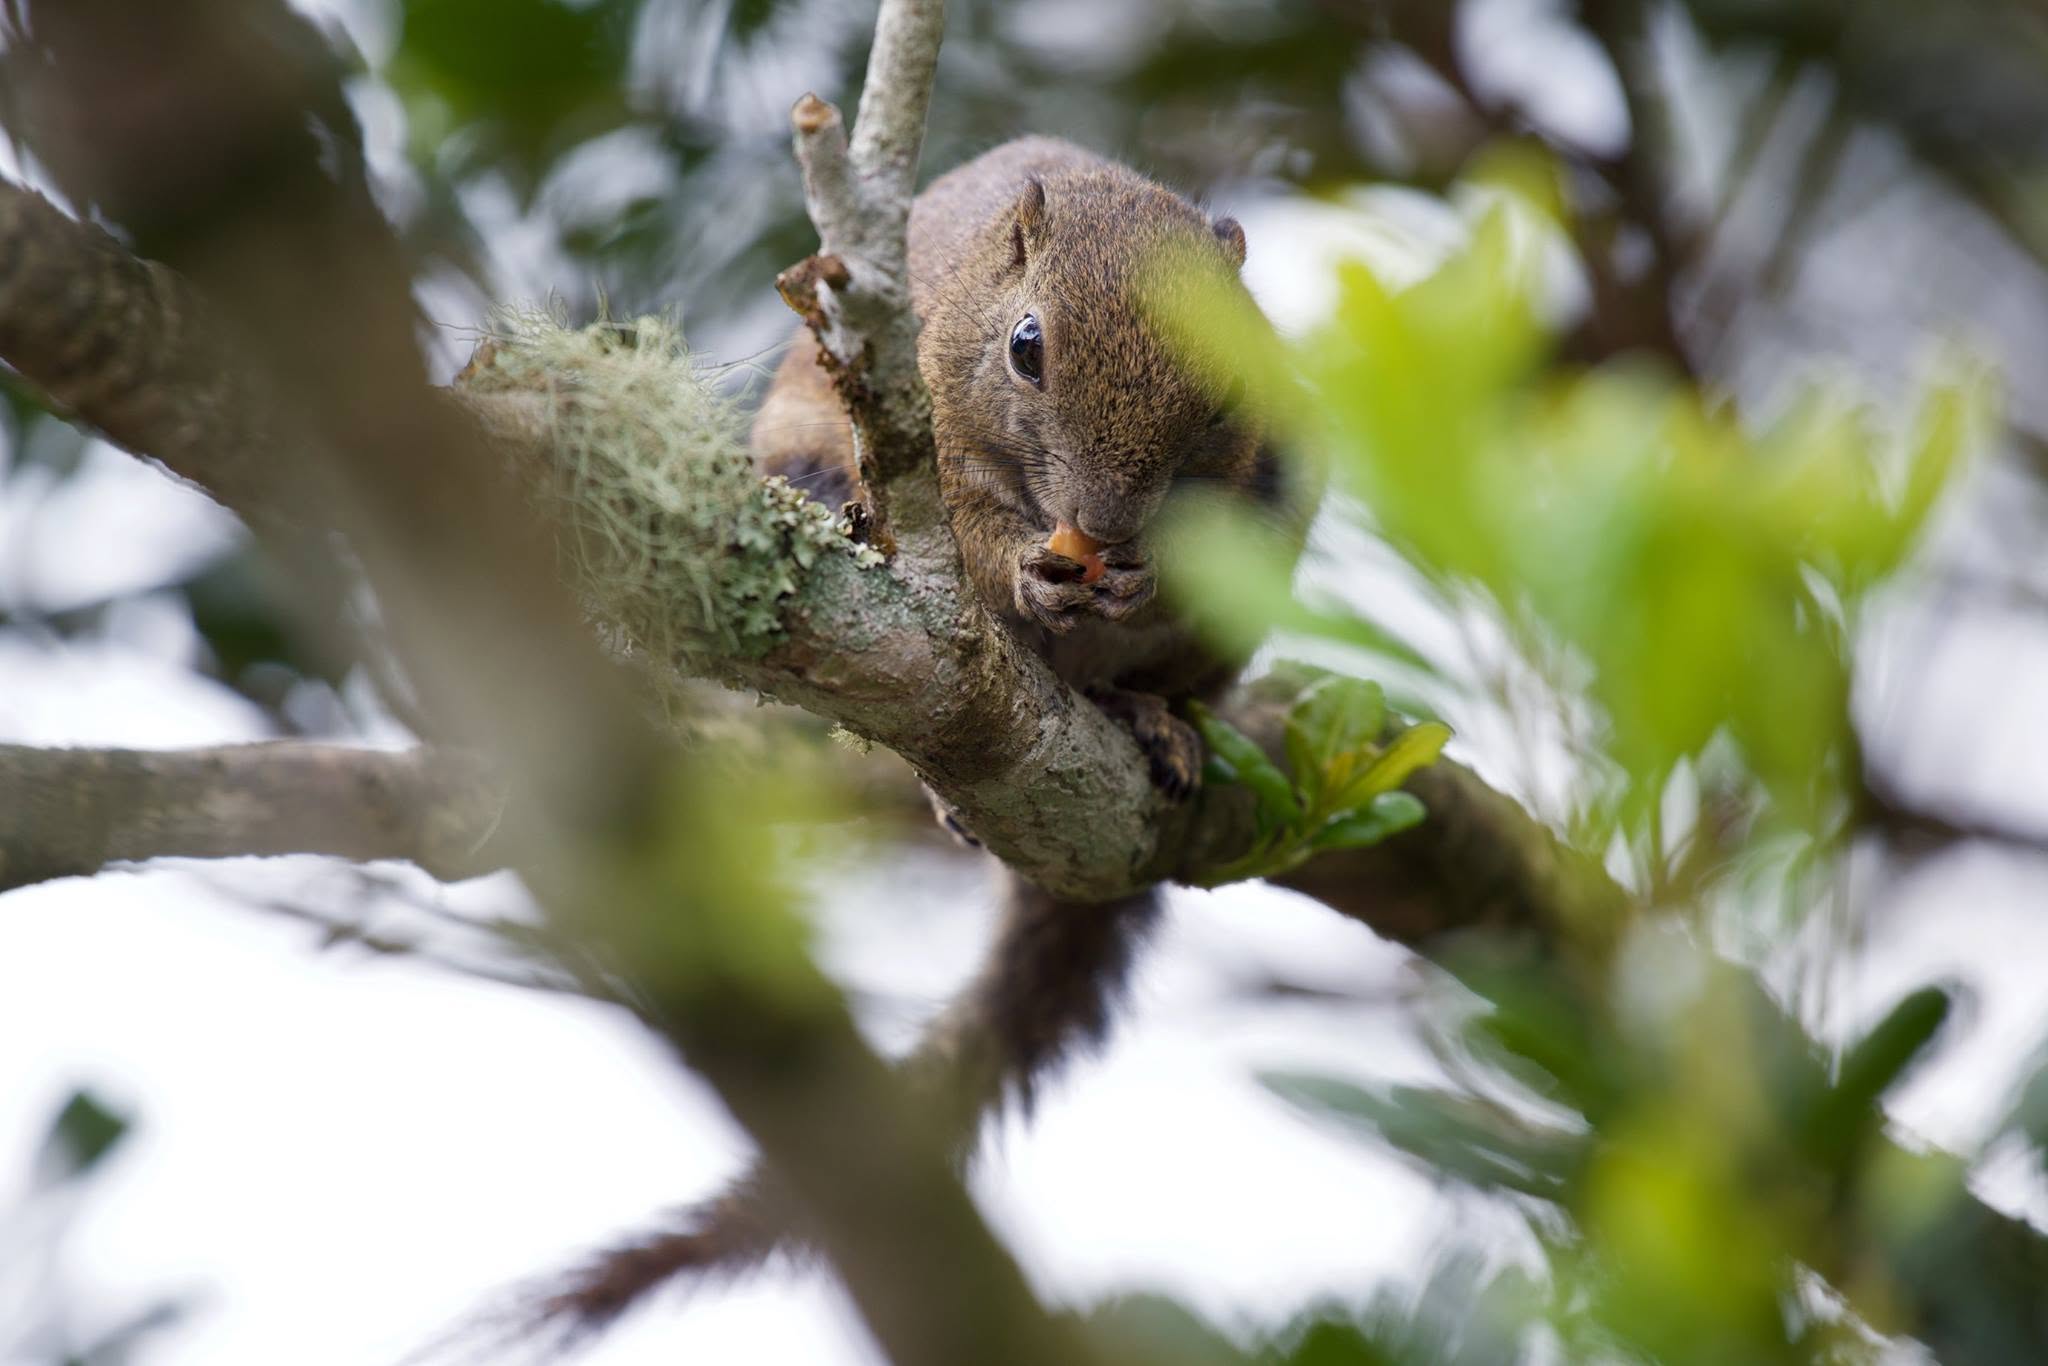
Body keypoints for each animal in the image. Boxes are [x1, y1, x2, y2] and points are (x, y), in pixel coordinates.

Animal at [526, 138, 1303, 1338]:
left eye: (1226, 376)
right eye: (1026, 347)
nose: (1107, 528)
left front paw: (1142, 582)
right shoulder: (912, 435)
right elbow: (970, 539)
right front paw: (1026, 568)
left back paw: (1152, 717)